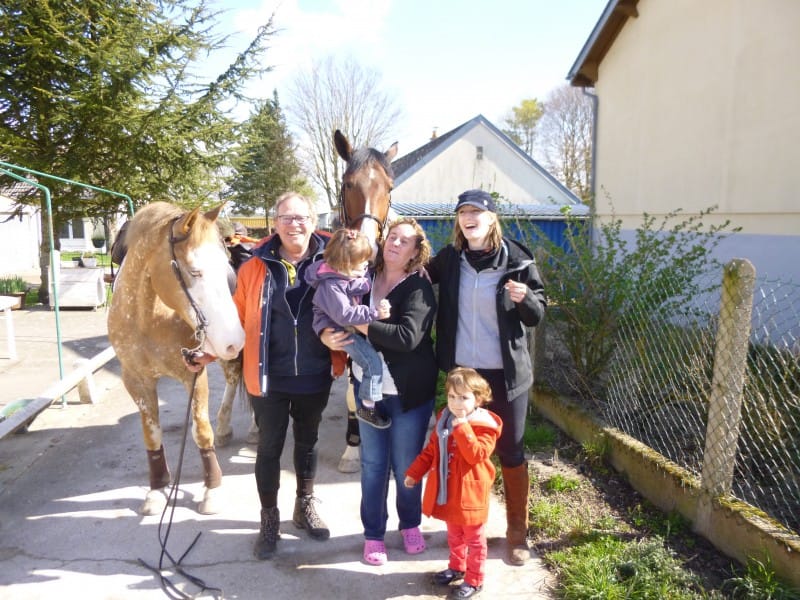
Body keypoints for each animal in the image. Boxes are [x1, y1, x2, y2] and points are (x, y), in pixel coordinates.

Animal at [107, 202, 244, 516]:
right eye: (194, 271)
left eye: (226, 269)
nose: (235, 339)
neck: (148, 317)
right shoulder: (135, 380)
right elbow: (152, 435)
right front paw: (157, 489)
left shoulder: (194, 374)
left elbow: (201, 431)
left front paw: (211, 489)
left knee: (236, 378)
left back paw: (228, 426)